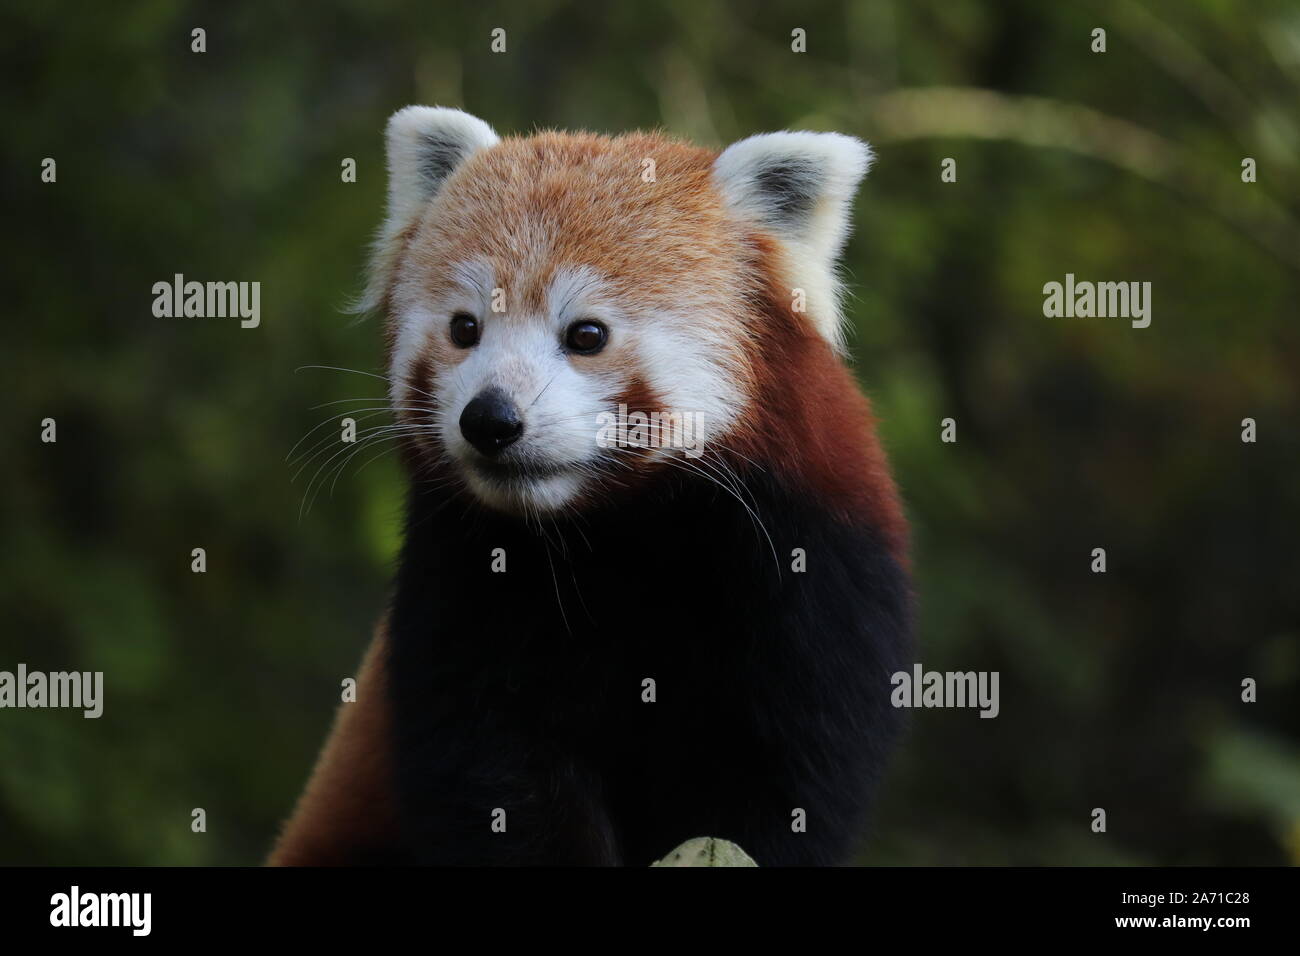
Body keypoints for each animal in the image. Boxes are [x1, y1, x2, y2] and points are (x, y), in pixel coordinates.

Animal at [269, 106, 909, 868]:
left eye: (586, 335)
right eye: (464, 328)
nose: (490, 420)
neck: (617, 531)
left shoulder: (814, 565)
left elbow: (785, 779)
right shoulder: (463, 578)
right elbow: (494, 773)